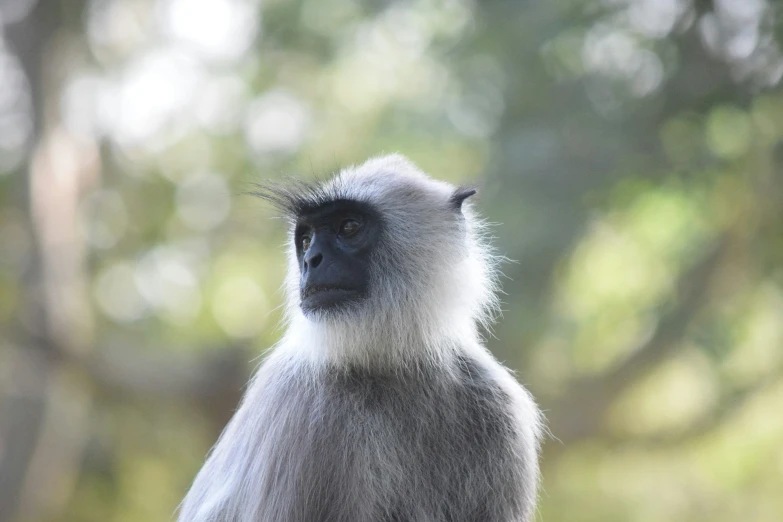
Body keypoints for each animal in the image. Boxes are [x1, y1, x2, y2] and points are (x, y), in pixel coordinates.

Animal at [178, 152, 544, 516]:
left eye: (349, 227)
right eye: (306, 240)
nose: (312, 260)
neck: (390, 365)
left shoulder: (498, 406)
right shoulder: (295, 399)